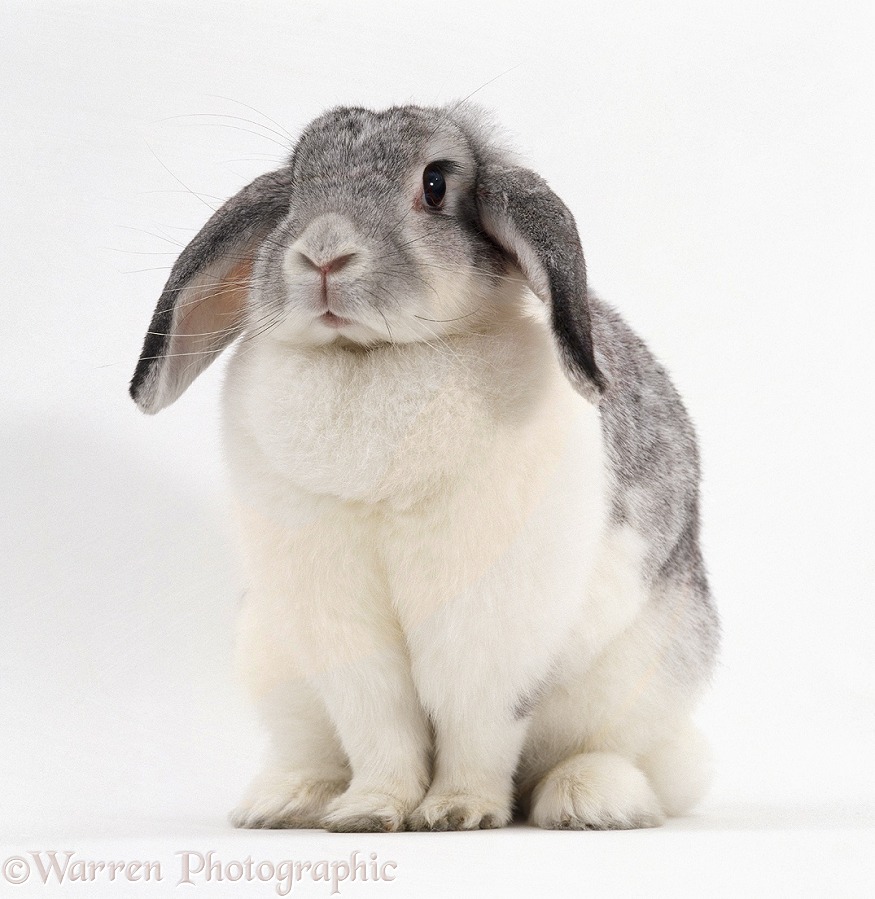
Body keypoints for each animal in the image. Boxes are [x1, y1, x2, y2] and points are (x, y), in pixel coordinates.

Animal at [130, 102, 720, 832]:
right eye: (296, 186)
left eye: (435, 184)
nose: (323, 254)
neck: (372, 356)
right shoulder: (336, 617)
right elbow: (378, 724)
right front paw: (369, 811)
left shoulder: (487, 617)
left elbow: (476, 723)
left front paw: (457, 811)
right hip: (272, 658)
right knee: (313, 747)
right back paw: (287, 800)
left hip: (643, 678)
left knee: (620, 758)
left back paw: (588, 799)